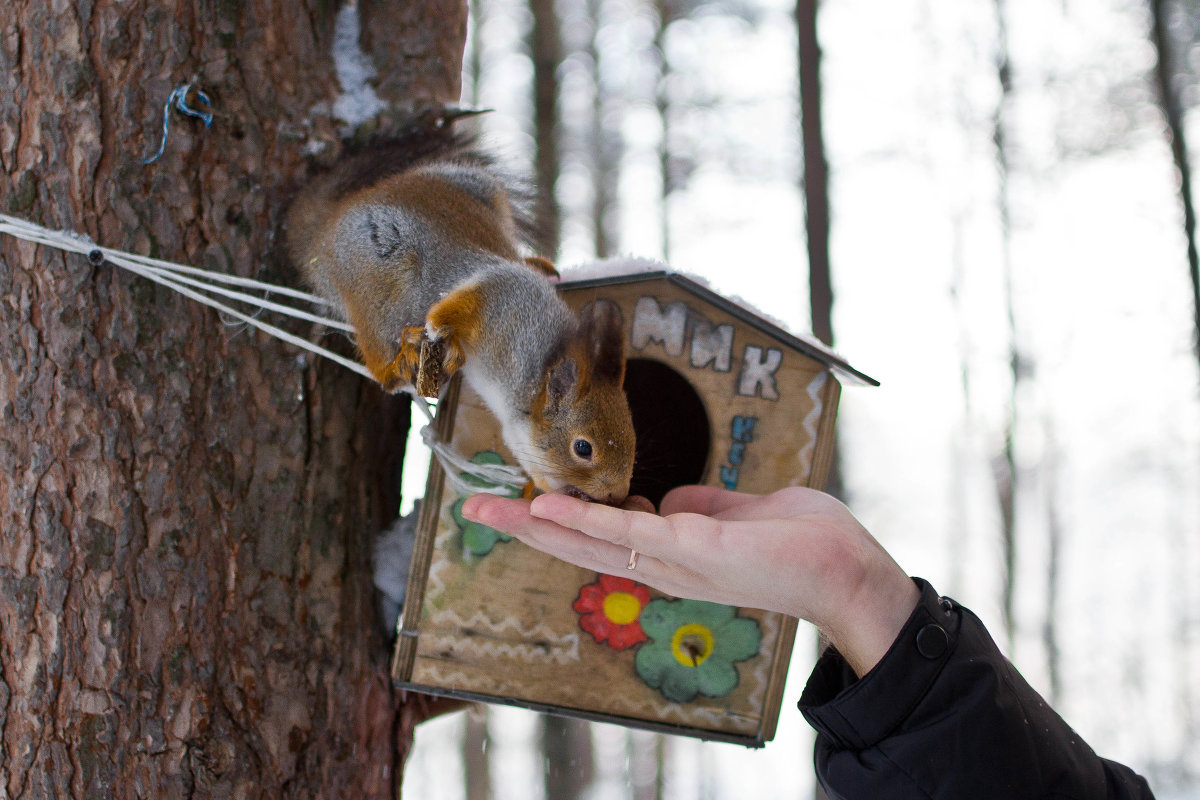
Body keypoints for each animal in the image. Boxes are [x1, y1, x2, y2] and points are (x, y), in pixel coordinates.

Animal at [284, 110, 633, 506]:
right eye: (583, 448)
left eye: (633, 437)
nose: (618, 494)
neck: (531, 387)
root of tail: (328, 226)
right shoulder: (506, 301)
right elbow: (465, 301)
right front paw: (437, 325)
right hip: (375, 275)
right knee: (375, 345)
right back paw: (393, 364)